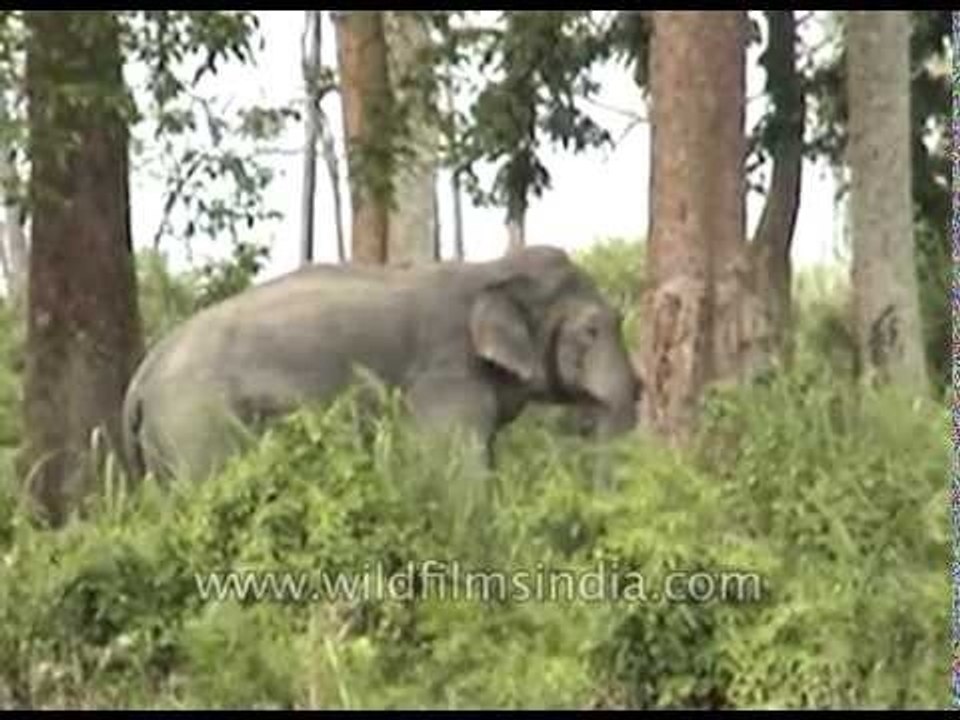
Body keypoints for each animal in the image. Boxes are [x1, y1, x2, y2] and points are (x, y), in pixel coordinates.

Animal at [121, 245, 641, 484]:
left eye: (619, 320)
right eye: (592, 330)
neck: (492, 267)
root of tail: (141, 376)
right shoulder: (445, 376)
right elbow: (455, 470)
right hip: (196, 421)